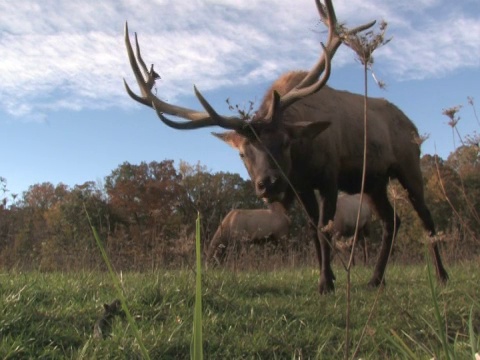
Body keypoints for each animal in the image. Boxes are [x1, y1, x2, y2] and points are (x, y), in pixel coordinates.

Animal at [123, 0, 446, 294]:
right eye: (242, 153)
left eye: (285, 142)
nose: (268, 183)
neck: (302, 160)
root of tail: (412, 125)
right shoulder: (301, 186)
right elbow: (314, 230)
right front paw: (327, 277)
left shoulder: (329, 176)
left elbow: (323, 227)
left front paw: (325, 283)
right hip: (373, 182)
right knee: (393, 220)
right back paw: (376, 278)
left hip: (409, 165)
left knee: (426, 218)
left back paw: (441, 274)